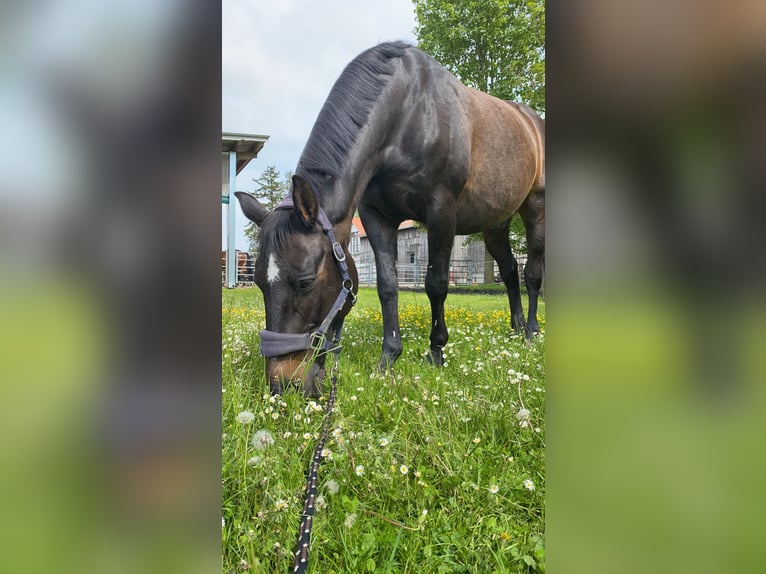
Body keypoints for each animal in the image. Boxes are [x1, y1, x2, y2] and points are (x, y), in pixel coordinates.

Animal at [237, 42, 544, 398]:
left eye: (305, 282)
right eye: (258, 281)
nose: (282, 383)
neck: (408, 113)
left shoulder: (441, 211)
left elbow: (435, 283)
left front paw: (436, 351)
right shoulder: (376, 216)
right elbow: (387, 285)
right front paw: (388, 358)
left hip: (535, 207)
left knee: (532, 273)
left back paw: (531, 331)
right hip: (495, 223)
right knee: (509, 271)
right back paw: (516, 327)